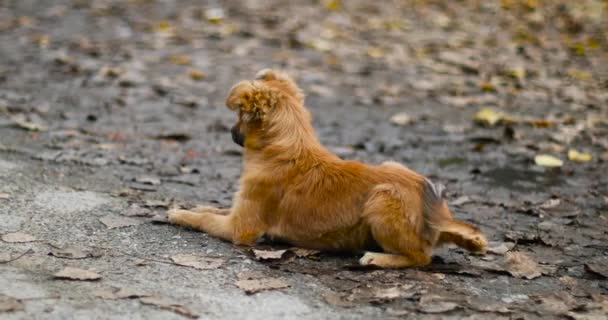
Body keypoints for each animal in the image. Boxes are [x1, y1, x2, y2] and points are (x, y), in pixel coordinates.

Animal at [167, 70, 490, 268]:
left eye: (239, 116)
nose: (231, 132)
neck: (287, 148)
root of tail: (440, 214)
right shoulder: (237, 210)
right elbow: (212, 209)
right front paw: (192, 205)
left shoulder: (239, 228)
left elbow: (205, 220)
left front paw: (180, 214)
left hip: (383, 197)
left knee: (421, 257)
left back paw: (378, 259)